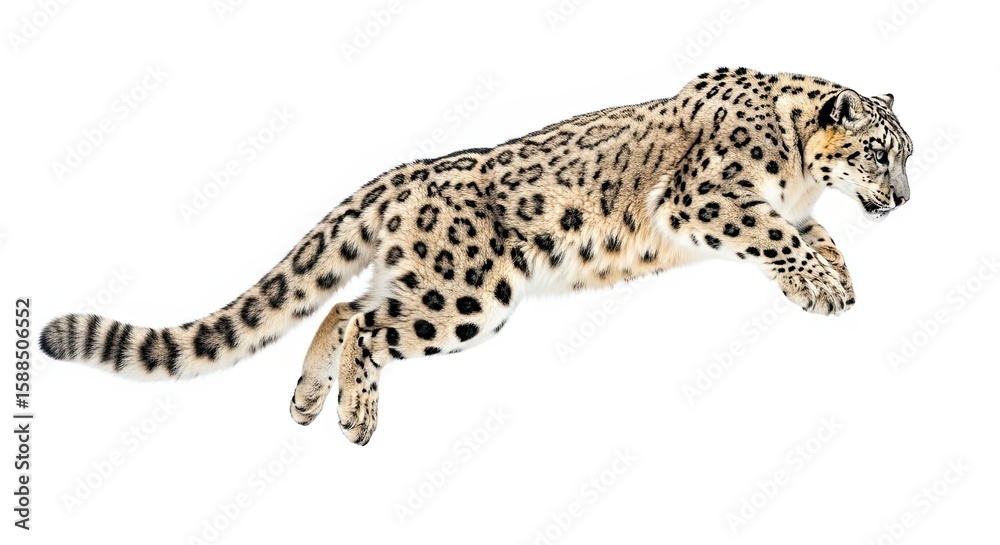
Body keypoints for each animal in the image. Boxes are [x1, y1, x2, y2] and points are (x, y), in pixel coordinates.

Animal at [40, 67, 913, 445]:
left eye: (906, 153)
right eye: (879, 151)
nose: (903, 199)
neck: (799, 171)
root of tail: (411, 172)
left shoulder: (787, 208)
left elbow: (814, 233)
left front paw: (837, 276)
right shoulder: (706, 200)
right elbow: (779, 235)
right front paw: (822, 286)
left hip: (423, 283)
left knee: (342, 303)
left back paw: (308, 399)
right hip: (466, 297)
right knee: (367, 325)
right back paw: (355, 414)